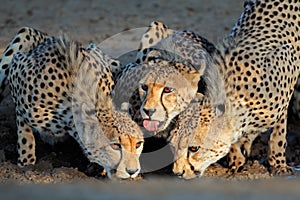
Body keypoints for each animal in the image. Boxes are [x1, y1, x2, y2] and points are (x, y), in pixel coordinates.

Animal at [0, 27, 144, 179]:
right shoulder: (16, 66)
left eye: (138, 144)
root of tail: (50, 38)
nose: (133, 171)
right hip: (24, 34)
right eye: (115, 145)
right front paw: (26, 161)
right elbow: (24, 129)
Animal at [169, 0, 300, 178]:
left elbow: (278, 132)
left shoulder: (288, 62)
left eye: (194, 148)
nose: (177, 173)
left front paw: (278, 164)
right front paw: (236, 159)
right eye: (173, 146)